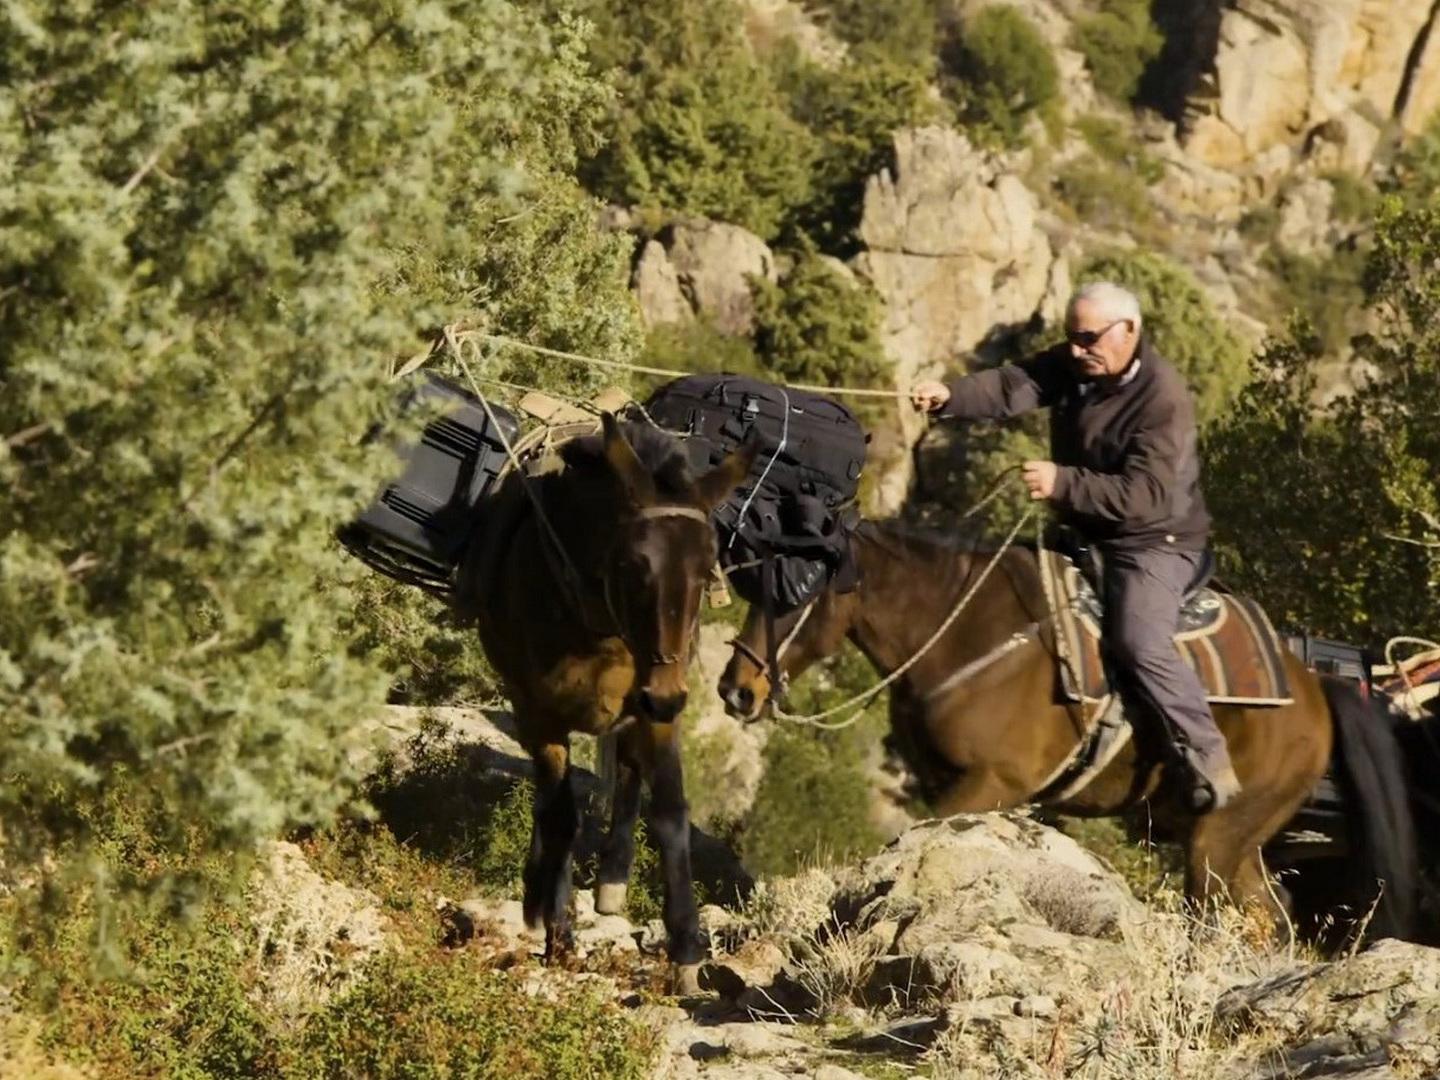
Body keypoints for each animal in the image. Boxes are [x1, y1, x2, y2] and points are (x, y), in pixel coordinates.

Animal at [457, 417, 754, 996]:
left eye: (708, 570)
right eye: (634, 565)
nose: (665, 695)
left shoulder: (657, 712)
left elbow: (671, 815)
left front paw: (687, 953)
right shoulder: (538, 711)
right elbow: (562, 817)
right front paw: (560, 933)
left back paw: (610, 881)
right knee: (556, 805)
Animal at [720, 521, 1416, 944]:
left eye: (794, 592)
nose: (737, 689)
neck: (965, 632)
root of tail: (1314, 689)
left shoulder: (990, 785)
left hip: (1219, 837)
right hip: (1239, 844)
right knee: (1270, 917)